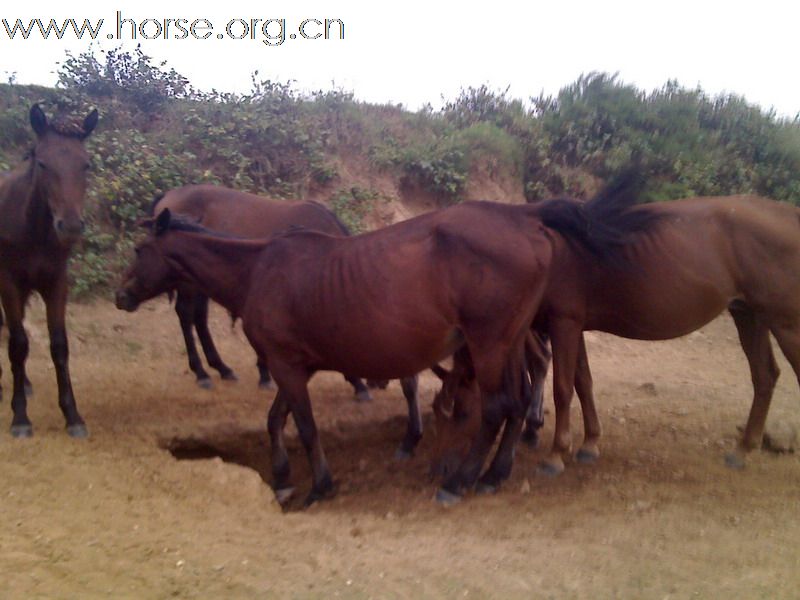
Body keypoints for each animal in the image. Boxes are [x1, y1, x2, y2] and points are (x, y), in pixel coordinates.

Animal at [0, 105, 98, 438]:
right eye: (42, 163)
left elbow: (59, 345)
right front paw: (20, 418)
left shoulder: (56, 284)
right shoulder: (9, 284)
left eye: (86, 165)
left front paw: (73, 415)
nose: (70, 226)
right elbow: (18, 345)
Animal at [114, 197, 632, 506]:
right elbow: (276, 420)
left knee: (498, 407)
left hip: (489, 346)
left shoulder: (284, 365)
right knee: (518, 401)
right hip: (507, 344)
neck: (258, 270)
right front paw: (281, 478)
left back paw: (459, 481)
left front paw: (319, 485)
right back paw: (493, 473)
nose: (120, 296)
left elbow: (304, 426)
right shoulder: (293, 366)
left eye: (139, 249)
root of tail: (528, 220)